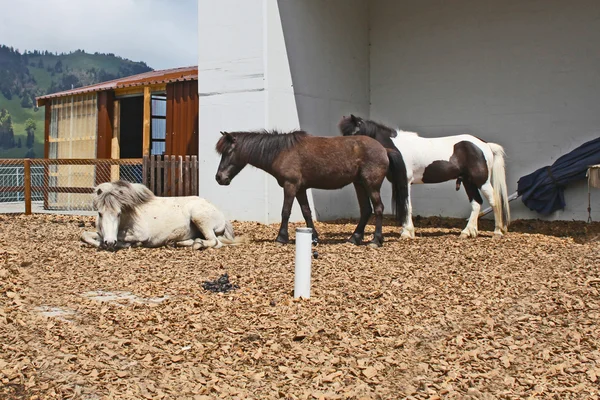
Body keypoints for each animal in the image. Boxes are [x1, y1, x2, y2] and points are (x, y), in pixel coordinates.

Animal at [80, 180, 246, 250]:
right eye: (100, 213)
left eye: (119, 213)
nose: (110, 243)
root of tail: (221, 215)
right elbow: (85, 235)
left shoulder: (142, 234)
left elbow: (126, 238)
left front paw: (130, 244)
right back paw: (178, 243)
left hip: (200, 218)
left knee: (215, 242)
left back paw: (197, 245)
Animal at [214, 130, 408, 247]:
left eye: (228, 152)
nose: (219, 177)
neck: (281, 151)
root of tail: (384, 149)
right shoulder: (300, 189)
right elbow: (306, 211)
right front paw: (313, 236)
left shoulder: (290, 186)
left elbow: (286, 211)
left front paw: (281, 238)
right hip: (359, 184)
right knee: (366, 210)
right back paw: (354, 238)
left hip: (371, 185)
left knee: (378, 208)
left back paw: (376, 239)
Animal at [340, 114, 508, 239]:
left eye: (353, 134)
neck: (395, 148)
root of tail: (485, 144)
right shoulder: (398, 182)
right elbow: (403, 206)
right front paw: (406, 231)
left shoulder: (405, 181)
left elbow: (407, 205)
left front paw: (407, 233)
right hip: (468, 181)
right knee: (476, 203)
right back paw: (467, 232)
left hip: (482, 181)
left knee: (494, 201)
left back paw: (497, 232)